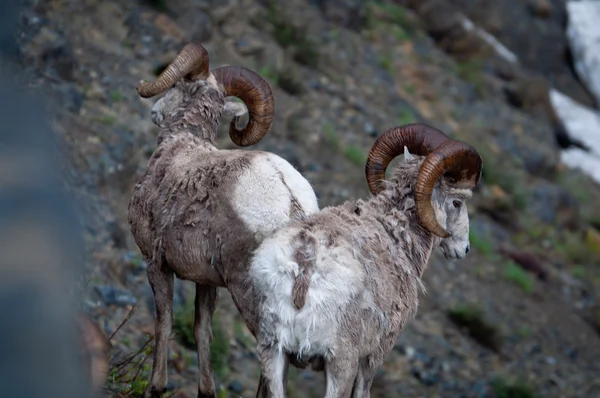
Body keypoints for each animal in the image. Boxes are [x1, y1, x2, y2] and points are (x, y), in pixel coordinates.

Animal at [126, 43, 318, 398]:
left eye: (176, 84)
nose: (155, 111)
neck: (180, 147)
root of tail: (292, 204)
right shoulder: (206, 281)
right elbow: (202, 330)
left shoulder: (156, 264)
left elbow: (165, 321)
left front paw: (155, 388)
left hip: (250, 294)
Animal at [246, 124, 480, 398]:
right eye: (457, 202)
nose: (463, 249)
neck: (397, 231)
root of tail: (304, 263)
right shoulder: (373, 356)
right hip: (340, 364)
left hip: (273, 354)